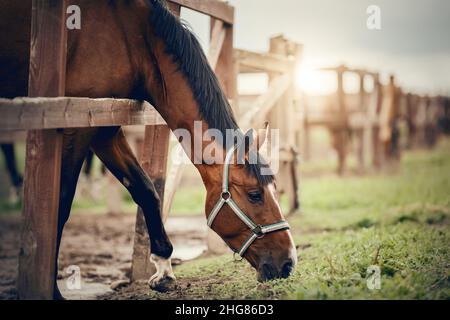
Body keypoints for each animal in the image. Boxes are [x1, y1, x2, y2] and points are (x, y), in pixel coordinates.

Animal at [0, 0, 298, 300]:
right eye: (255, 195)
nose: (288, 262)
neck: (132, 36)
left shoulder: (105, 127)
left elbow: (146, 189)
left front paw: (164, 269)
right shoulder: (75, 126)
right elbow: (60, 205)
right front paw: (52, 291)